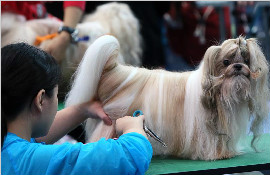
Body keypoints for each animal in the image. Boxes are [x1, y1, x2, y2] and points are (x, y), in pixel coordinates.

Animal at [66, 34, 270, 161]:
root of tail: (117, 73)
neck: (219, 91)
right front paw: (217, 154)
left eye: (245, 60)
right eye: (226, 62)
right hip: (113, 122)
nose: (238, 66)